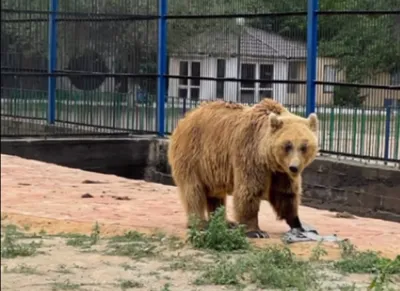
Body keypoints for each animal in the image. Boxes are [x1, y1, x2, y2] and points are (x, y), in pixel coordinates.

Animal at [168, 99, 318, 238]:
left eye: (304, 146)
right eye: (287, 145)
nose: (294, 168)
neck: (267, 158)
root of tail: (185, 118)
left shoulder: (280, 172)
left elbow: (285, 194)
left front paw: (298, 225)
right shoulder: (250, 155)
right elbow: (249, 190)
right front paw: (255, 231)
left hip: (212, 169)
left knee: (215, 194)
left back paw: (225, 222)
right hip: (192, 155)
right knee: (193, 190)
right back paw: (199, 223)